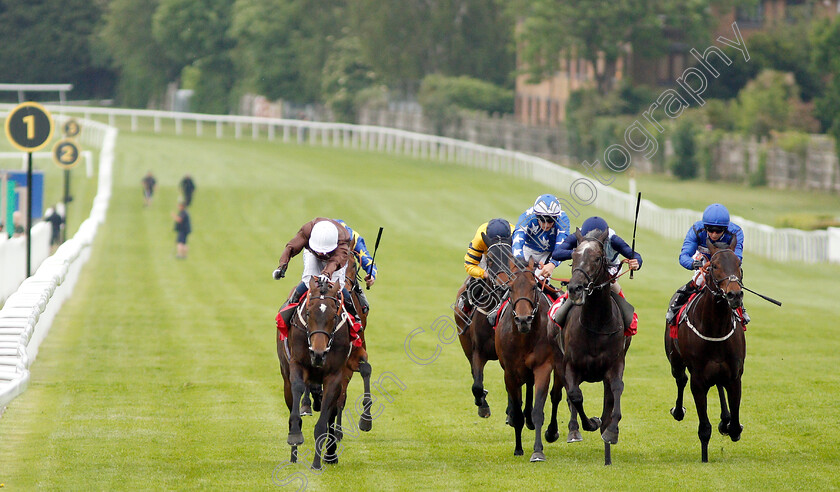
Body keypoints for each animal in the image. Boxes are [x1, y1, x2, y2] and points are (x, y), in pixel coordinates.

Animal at [278, 274, 352, 470]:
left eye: (334, 316)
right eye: (309, 313)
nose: (318, 354)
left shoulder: (335, 375)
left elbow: (323, 423)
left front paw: (317, 463)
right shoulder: (297, 364)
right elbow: (297, 389)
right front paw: (295, 434)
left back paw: (331, 454)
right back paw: (294, 455)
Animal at [452, 233, 512, 418]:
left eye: (512, 257)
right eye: (491, 259)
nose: (503, 284)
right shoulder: (477, 350)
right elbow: (477, 385)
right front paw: (483, 404)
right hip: (464, 342)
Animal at [496, 256, 556, 464]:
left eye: (533, 286)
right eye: (510, 287)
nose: (523, 319)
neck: (524, 337)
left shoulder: (543, 367)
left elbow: (538, 409)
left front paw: (538, 451)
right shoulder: (510, 373)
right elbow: (517, 412)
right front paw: (518, 448)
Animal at [560, 229, 628, 468]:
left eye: (597, 258)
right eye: (573, 255)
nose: (574, 289)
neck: (597, 324)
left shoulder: (615, 364)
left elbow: (616, 389)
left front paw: (611, 430)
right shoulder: (571, 365)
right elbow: (575, 395)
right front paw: (589, 423)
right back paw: (575, 429)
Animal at [668, 236, 744, 464]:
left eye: (738, 264)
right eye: (714, 266)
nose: (734, 294)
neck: (716, 328)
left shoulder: (735, 376)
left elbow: (735, 424)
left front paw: (729, 425)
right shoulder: (699, 380)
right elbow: (704, 427)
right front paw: (704, 457)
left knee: (719, 385)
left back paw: (725, 420)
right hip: (675, 361)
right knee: (680, 379)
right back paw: (678, 410)